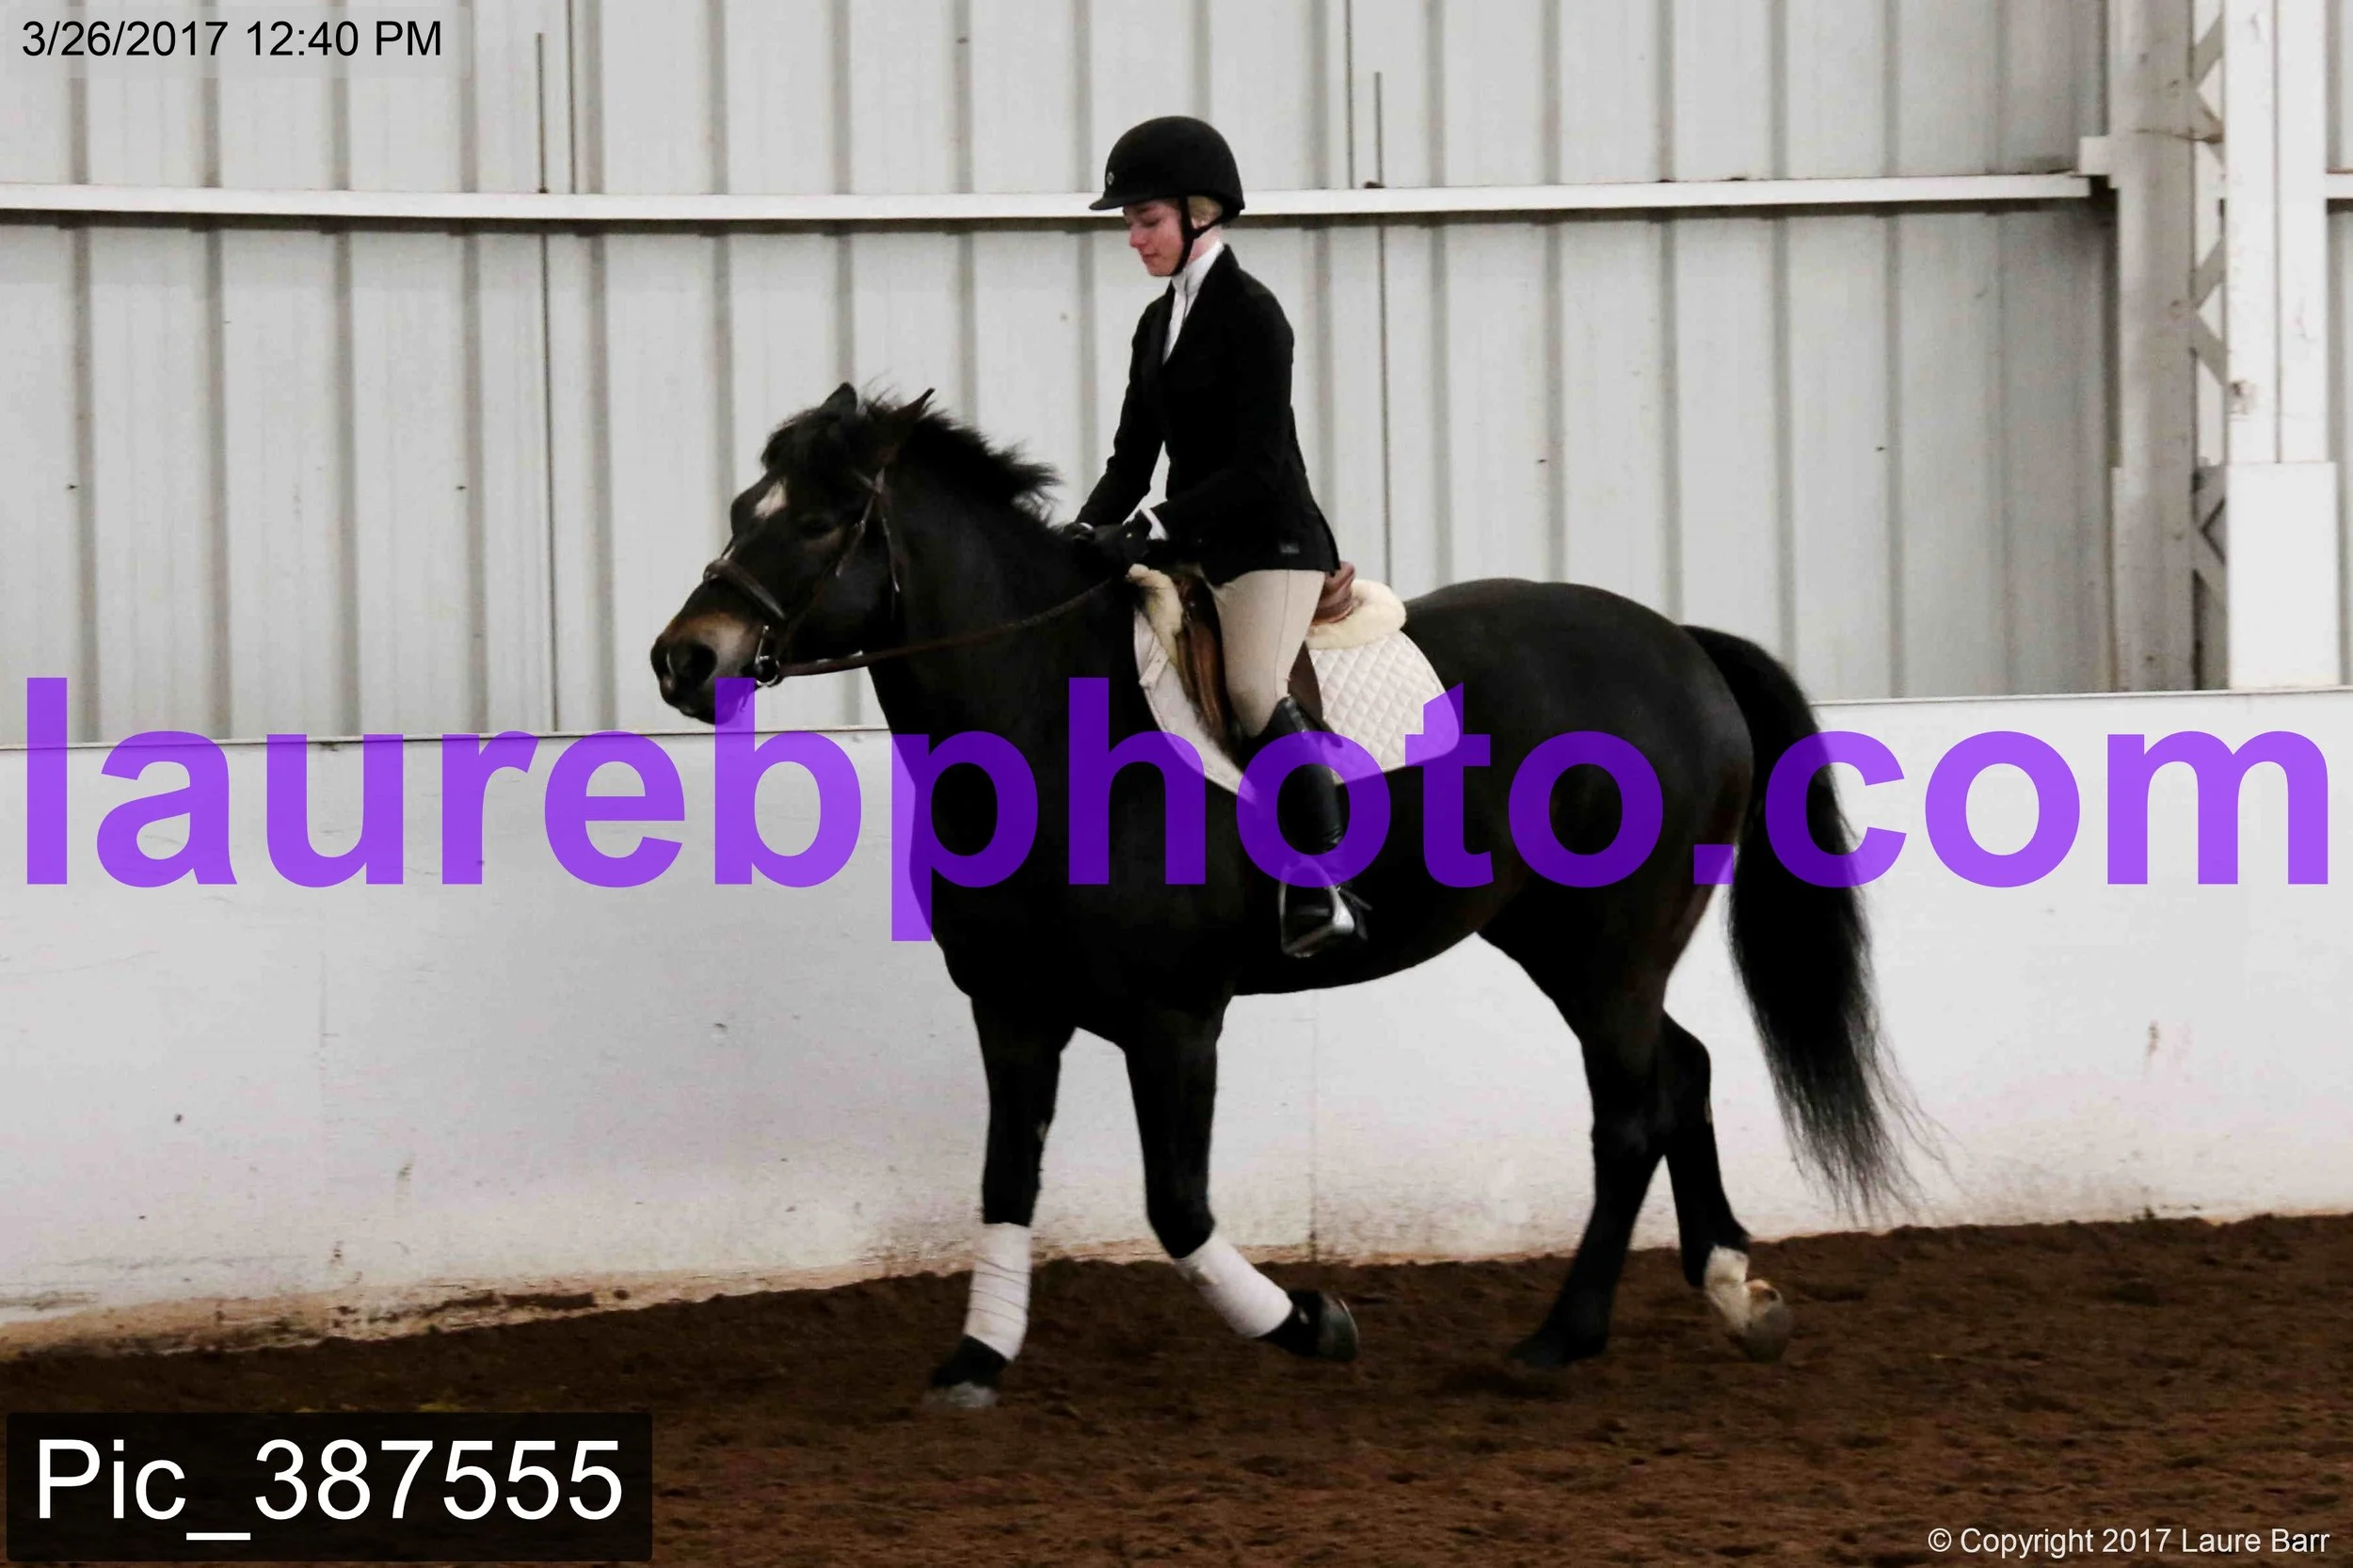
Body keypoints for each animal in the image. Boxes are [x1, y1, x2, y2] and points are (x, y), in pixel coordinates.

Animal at [651, 383, 1905, 1408]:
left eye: (820, 522)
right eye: (741, 506)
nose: (685, 660)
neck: (1055, 724)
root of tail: (1678, 644)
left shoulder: (1173, 1020)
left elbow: (1178, 1206)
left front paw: (1310, 1323)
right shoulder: (1012, 1009)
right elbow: (1007, 1180)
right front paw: (975, 1358)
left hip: (1610, 947)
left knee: (1632, 1110)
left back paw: (1558, 1339)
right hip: (1565, 942)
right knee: (1679, 1072)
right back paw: (1737, 1294)